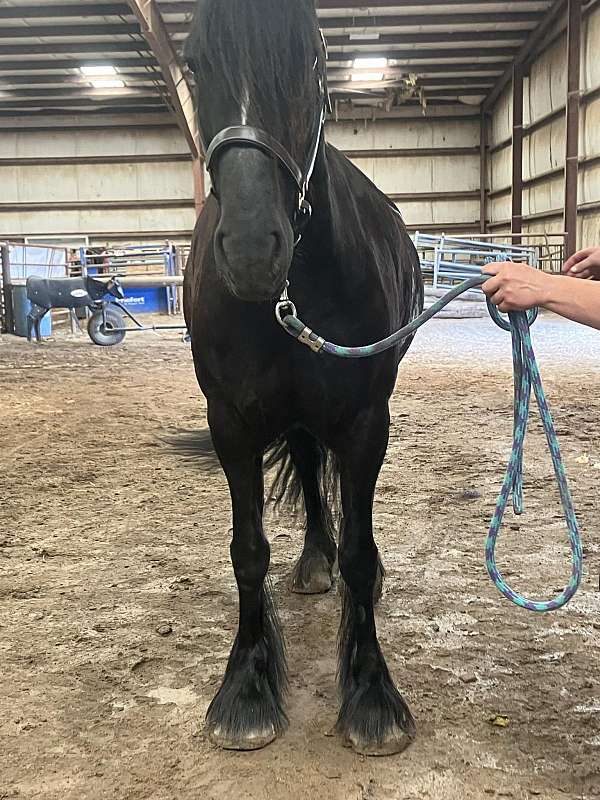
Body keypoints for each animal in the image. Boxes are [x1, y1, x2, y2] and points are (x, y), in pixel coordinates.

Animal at [183, 0, 422, 756]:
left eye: (313, 60)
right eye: (194, 64)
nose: (252, 251)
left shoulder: (366, 421)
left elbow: (362, 551)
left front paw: (371, 696)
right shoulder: (230, 422)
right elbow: (248, 551)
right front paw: (246, 690)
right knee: (312, 470)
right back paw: (316, 558)